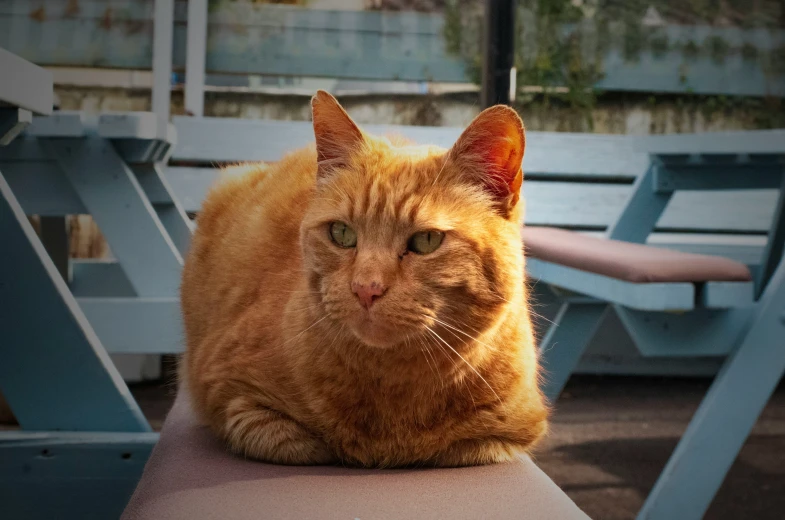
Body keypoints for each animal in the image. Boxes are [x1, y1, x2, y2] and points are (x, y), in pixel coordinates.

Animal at [181, 90, 548, 468]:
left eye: (427, 240)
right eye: (341, 233)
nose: (365, 289)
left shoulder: (501, 437)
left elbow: (456, 447)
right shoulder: (225, 392)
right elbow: (302, 444)